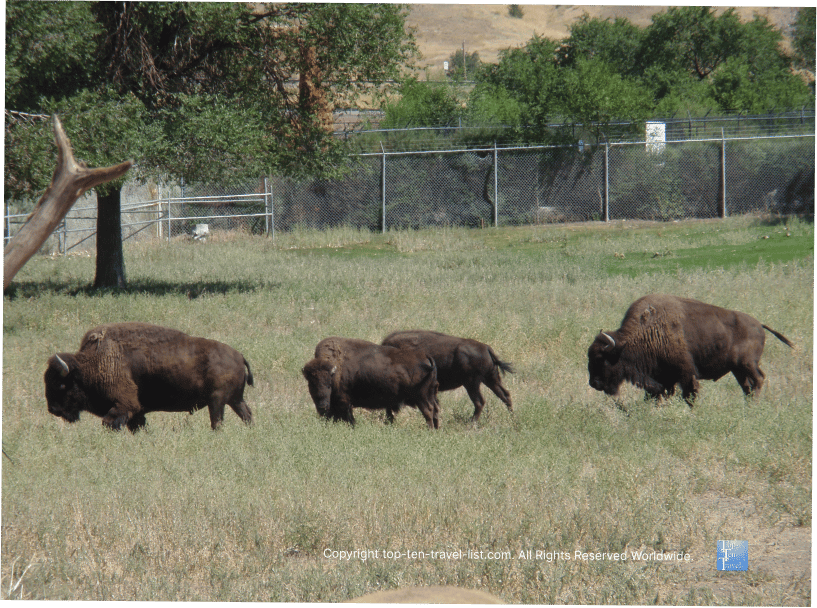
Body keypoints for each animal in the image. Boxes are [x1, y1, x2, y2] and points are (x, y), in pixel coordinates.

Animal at [44, 322, 254, 431]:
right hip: (234, 400)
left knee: (217, 422)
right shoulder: (136, 412)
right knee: (247, 415)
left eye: (61, 385)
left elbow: (109, 422)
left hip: (217, 401)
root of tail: (239, 355)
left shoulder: (124, 405)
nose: (53, 410)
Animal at [303, 337, 440, 428]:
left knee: (428, 411)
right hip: (430, 394)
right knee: (435, 410)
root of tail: (426, 357)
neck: (335, 369)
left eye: (328, 384)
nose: (322, 406)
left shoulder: (344, 402)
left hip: (422, 397)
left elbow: (349, 418)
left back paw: (430, 430)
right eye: (311, 384)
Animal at [381, 330, 514, 421]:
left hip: (472, 383)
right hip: (490, 380)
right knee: (505, 395)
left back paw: (472, 423)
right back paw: (512, 418)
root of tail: (486, 348)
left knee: (479, 402)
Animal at [588, 294, 794, 404]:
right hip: (737, 369)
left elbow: (689, 396)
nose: (593, 383)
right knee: (747, 386)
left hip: (747, 364)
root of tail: (759, 325)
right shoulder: (661, 380)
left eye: (601, 359)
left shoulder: (686, 374)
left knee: (758, 379)